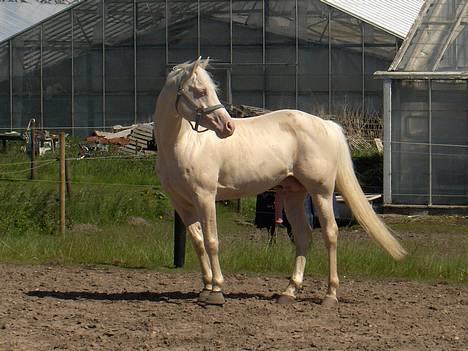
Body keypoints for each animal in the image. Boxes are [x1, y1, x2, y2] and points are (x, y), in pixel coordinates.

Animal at [154, 59, 406, 306]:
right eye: (200, 91)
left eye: (210, 90)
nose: (228, 127)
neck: (185, 144)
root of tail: (326, 125)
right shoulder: (182, 203)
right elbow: (198, 241)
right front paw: (206, 288)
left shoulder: (205, 197)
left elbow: (211, 240)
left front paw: (216, 291)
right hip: (293, 195)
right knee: (303, 235)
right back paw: (289, 291)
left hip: (321, 192)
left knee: (330, 233)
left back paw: (330, 295)